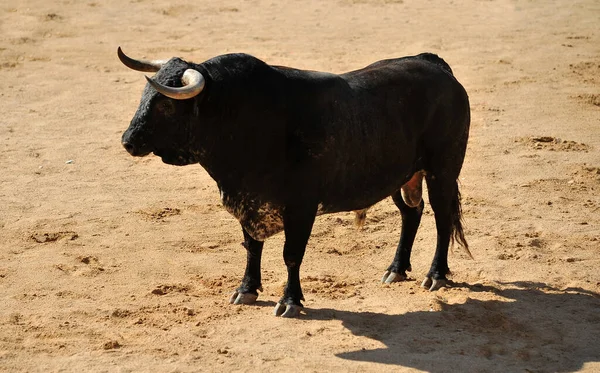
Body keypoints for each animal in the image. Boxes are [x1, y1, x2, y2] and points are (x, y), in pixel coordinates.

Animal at [118, 48, 474, 316]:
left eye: (166, 103)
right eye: (144, 95)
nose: (128, 141)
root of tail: (435, 65)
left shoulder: (300, 207)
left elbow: (291, 254)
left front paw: (290, 301)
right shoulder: (249, 199)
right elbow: (252, 246)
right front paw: (246, 290)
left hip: (443, 170)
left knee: (442, 219)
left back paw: (436, 275)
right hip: (401, 176)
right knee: (411, 213)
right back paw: (396, 269)